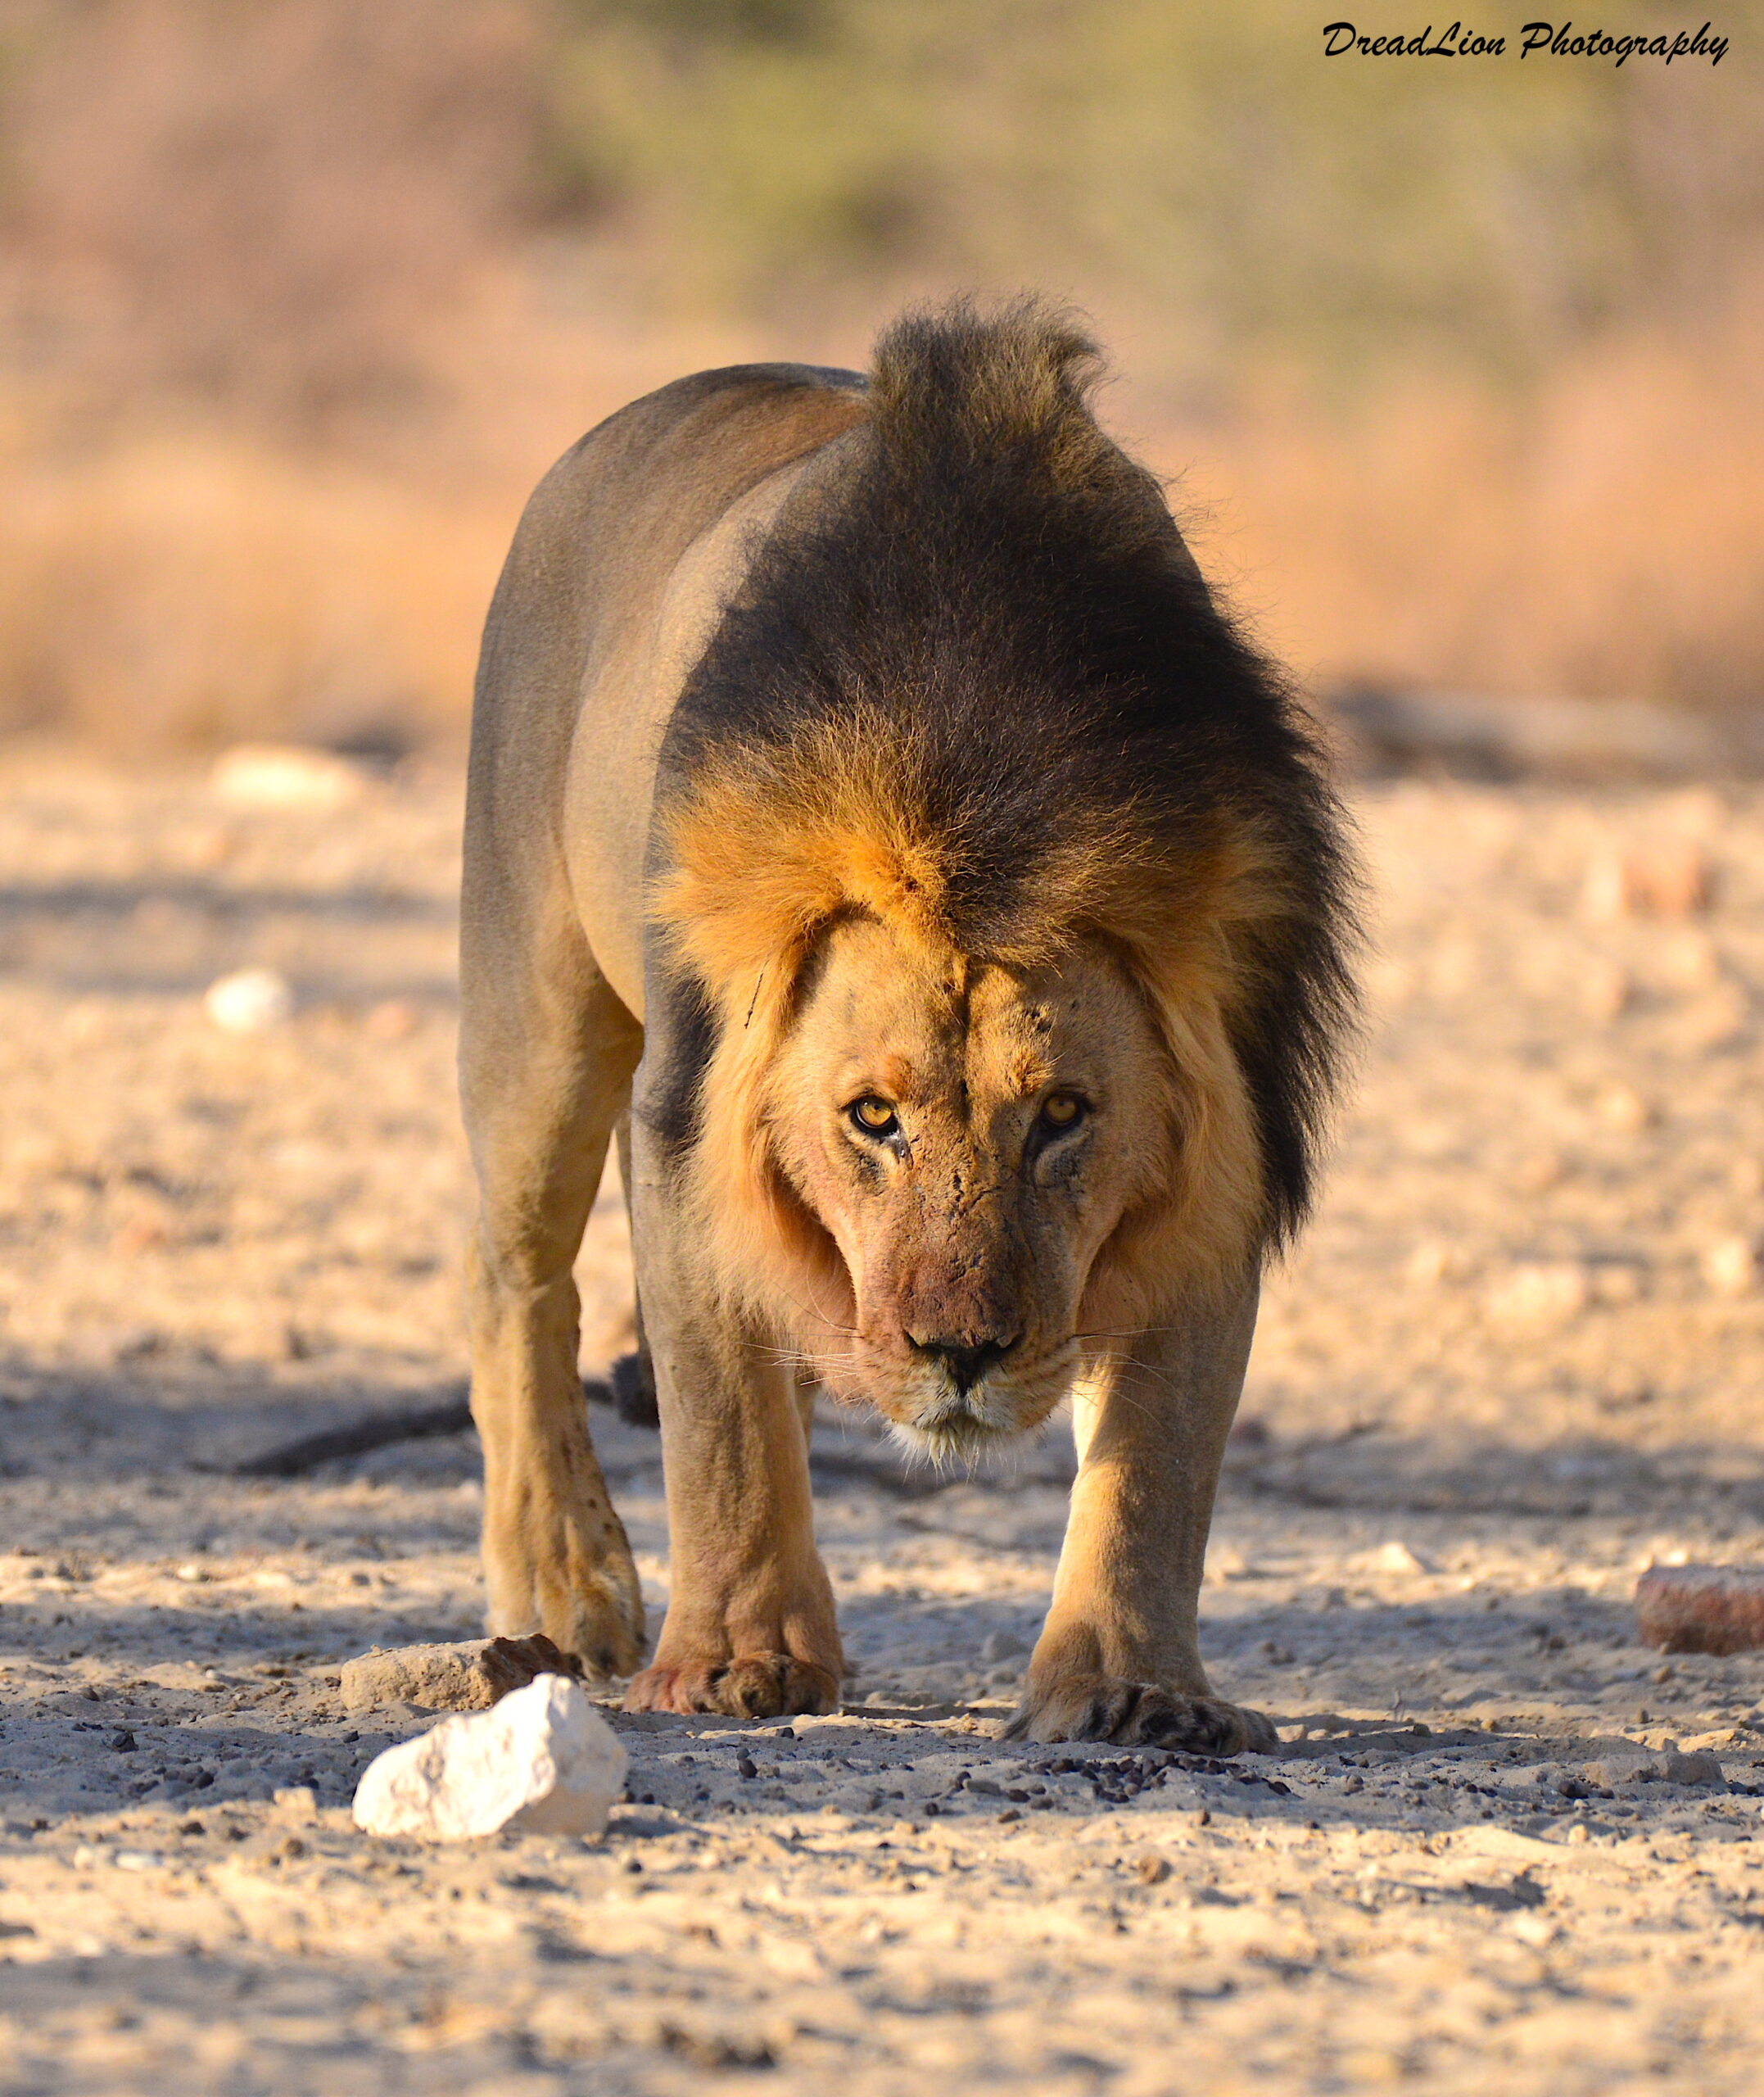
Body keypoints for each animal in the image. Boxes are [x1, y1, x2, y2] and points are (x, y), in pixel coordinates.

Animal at [461, 304, 1359, 1753]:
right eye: (871, 1118)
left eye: (1063, 1116)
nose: (960, 1355)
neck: (973, 796)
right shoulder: (682, 1116)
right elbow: (721, 1425)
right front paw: (733, 1663)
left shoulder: (1226, 1134)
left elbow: (1156, 1459)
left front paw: (1132, 1685)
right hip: (534, 1011)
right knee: (515, 1286)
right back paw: (567, 1584)